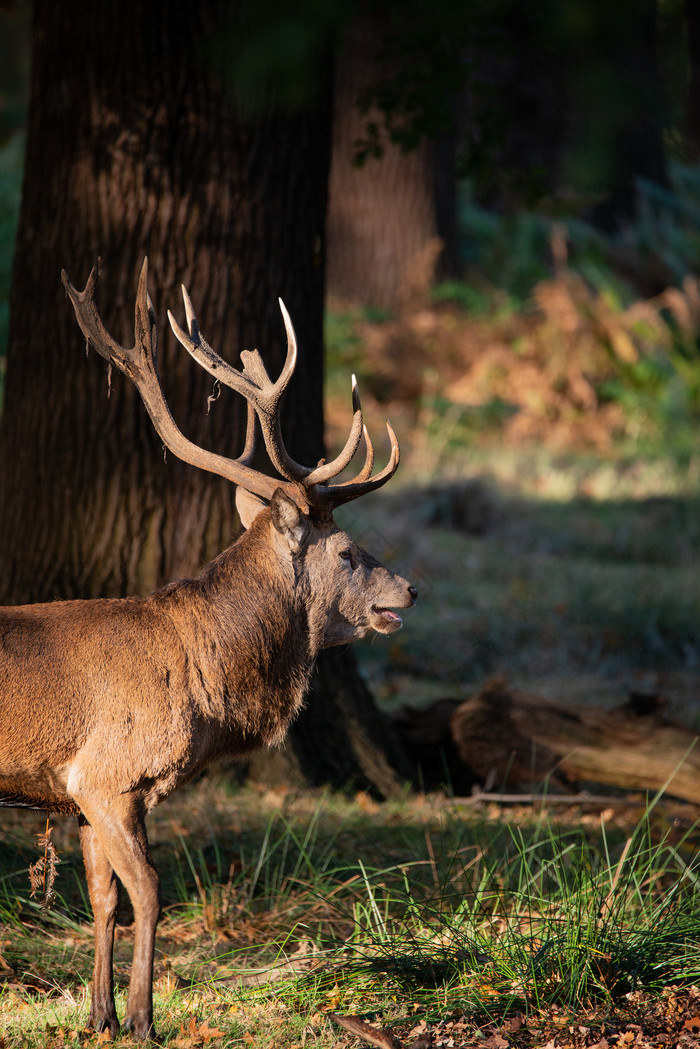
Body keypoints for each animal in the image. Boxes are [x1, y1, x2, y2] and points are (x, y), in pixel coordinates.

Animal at [0, 258, 415, 1036]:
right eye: (347, 551)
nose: (408, 589)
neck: (204, 680)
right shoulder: (109, 774)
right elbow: (150, 893)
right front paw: (142, 1019)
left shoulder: (84, 792)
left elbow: (102, 898)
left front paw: (99, 1016)